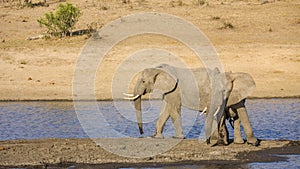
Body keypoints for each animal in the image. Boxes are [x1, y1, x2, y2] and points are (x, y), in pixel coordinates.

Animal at [124, 64, 260, 146]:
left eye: (143, 81)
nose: (141, 133)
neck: (159, 69)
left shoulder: (175, 89)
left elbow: (173, 109)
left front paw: (177, 137)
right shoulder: (169, 90)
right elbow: (166, 110)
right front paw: (156, 136)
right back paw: (247, 142)